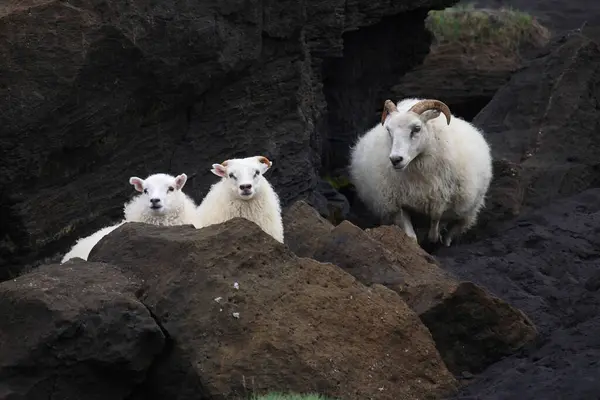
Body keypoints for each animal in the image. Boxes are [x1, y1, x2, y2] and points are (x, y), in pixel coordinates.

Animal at [346, 97, 492, 247]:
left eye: (417, 128)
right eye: (389, 130)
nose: (395, 159)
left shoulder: (440, 197)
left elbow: (436, 216)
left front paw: (434, 236)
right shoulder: (396, 204)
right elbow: (410, 235)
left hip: (468, 211)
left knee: (454, 229)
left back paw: (445, 241)